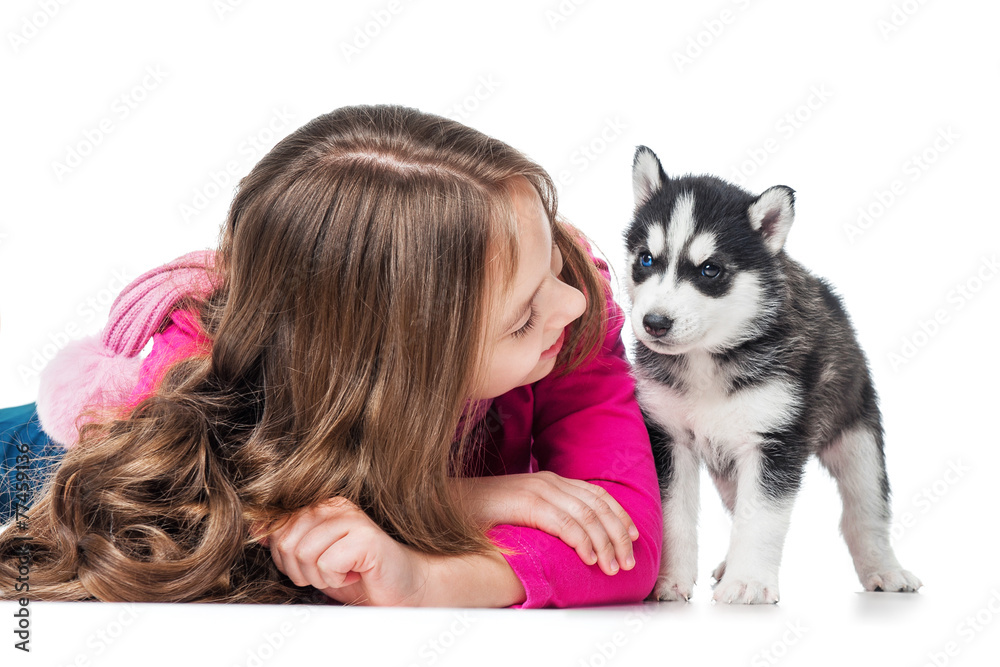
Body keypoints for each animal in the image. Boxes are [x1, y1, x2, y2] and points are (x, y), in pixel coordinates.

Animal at [624, 147, 920, 604]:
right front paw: (667, 580)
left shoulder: (774, 444)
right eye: (645, 259)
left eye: (710, 270)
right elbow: (673, 514)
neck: (707, 360)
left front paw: (747, 582)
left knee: (865, 511)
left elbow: (762, 516)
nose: (654, 323)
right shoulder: (667, 436)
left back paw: (885, 570)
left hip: (857, 437)